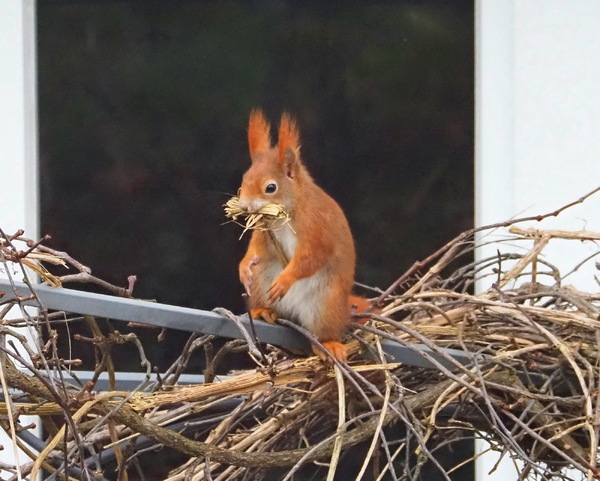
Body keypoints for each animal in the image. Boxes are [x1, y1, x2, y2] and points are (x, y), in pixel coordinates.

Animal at [238, 109, 370, 362]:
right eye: (244, 180)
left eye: (271, 187)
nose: (245, 206)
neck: (287, 212)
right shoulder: (265, 233)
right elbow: (257, 250)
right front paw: (244, 266)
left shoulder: (316, 228)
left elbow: (311, 257)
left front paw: (285, 280)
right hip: (261, 283)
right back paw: (263, 310)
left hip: (326, 304)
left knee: (324, 332)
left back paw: (329, 344)